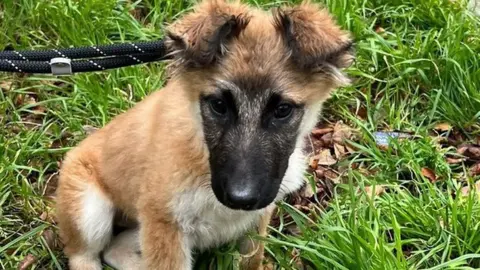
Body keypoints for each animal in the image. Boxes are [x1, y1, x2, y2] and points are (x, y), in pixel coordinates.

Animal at [56, 1, 354, 268]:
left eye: (282, 110)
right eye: (219, 105)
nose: (241, 198)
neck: (201, 151)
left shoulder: (256, 218)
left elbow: (251, 260)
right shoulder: (164, 222)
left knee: (114, 250)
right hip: (89, 212)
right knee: (84, 256)